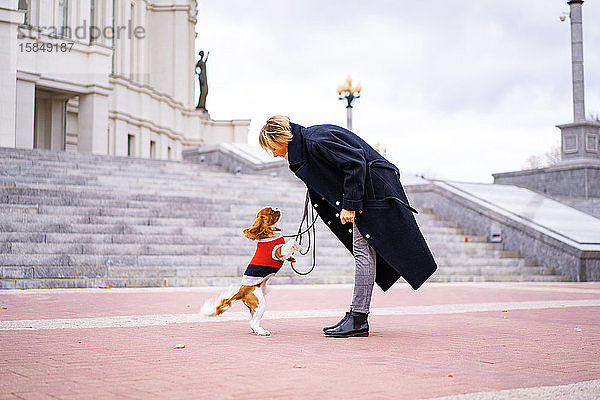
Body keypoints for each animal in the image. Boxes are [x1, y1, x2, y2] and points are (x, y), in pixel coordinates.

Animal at [203, 206, 304, 334]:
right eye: (271, 211)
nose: (277, 207)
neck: (268, 232)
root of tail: (241, 292)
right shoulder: (278, 251)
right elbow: (292, 241)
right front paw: (299, 247)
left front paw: (291, 258)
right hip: (260, 303)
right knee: (253, 322)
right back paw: (261, 331)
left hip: (255, 305)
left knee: (251, 320)